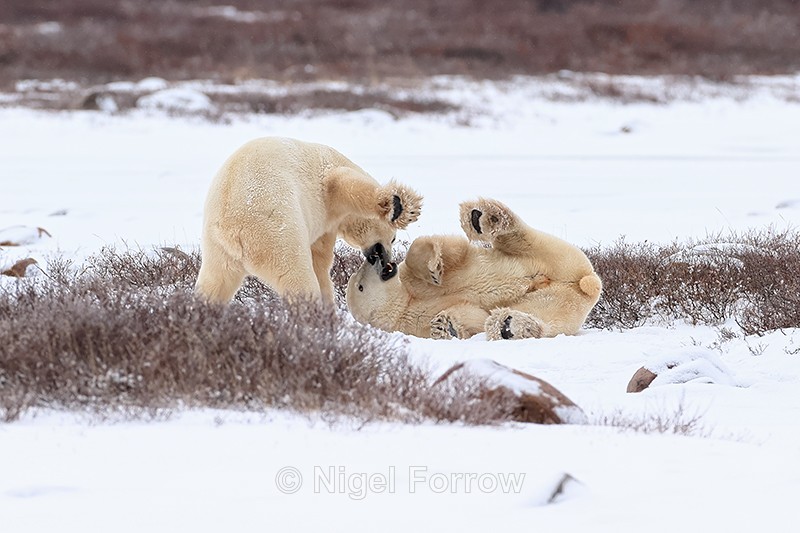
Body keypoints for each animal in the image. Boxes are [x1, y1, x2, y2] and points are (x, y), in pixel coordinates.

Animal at [195, 137, 422, 304]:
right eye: (392, 239)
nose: (387, 264)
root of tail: (232, 232)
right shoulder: (327, 186)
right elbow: (343, 183)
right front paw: (401, 206)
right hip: (275, 234)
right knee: (297, 277)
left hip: (216, 250)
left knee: (214, 284)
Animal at [346, 197, 602, 340]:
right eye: (360, 286)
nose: (375, 256)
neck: (407, 302)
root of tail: (583, 281)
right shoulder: (414, 322)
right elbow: (471, 316)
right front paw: (444, 326)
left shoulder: (416, 283)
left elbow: (450, 253)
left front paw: (432, 269)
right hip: (558, 305)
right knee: (543, 319)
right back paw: (508, 325)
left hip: (552, 255)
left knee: (520, 238)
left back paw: (482, 218)